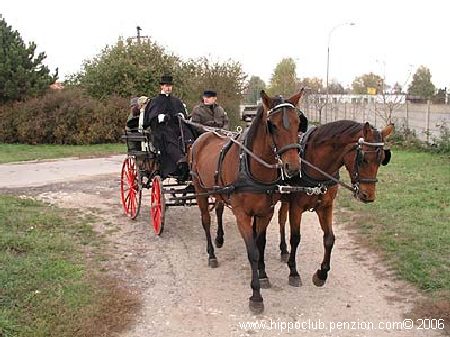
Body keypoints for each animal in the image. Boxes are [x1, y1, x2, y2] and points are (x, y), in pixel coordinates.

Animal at [190, 90, 306, 312]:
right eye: (272, 125)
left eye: (298, 122)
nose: (293, 167)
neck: (252, 167)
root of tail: (205, 135)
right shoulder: (242, 215)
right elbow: (252, 251)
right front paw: (256, 296)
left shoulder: (265, 213)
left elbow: (260, 245)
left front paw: (263, 275)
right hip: (200, 189)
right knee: (205, 221)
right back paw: (211, 254)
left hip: (219, 192)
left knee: (218, 210)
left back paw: (219, 239)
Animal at [278, 119, 394, 286]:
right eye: (363, 159)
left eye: (381, 160)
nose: (368, 196)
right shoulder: (296, 207)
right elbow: (295, 238)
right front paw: (293, 271)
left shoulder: (326, 207)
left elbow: (329, 238)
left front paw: (322, 273)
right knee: (281, 220)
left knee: (281, 216)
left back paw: (283, 250)